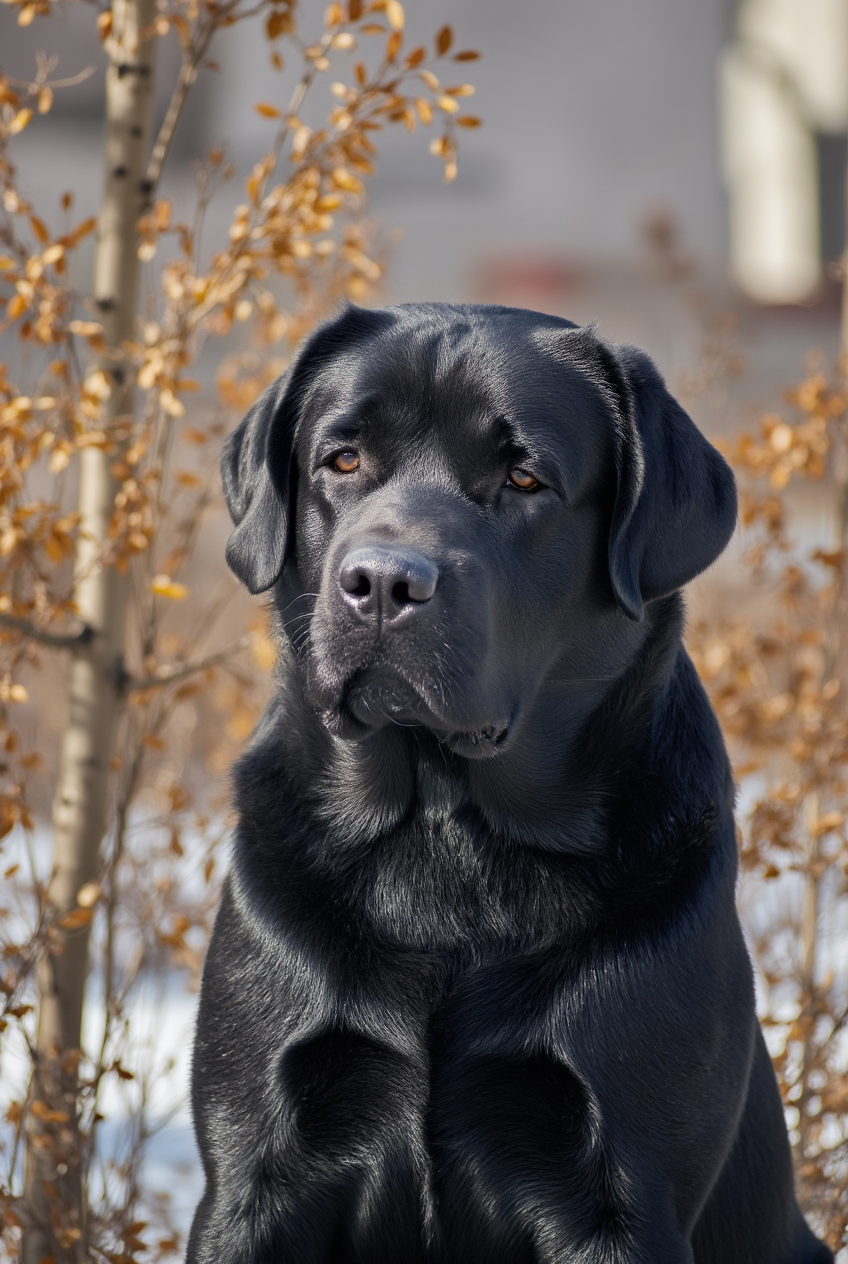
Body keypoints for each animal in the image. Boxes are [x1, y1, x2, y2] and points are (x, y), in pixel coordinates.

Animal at [187, 303, 832, 1263]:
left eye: (524, 478)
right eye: (341, 460)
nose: (381, 582)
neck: (447, 836)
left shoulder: (620, 1195)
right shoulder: (252, 1177)